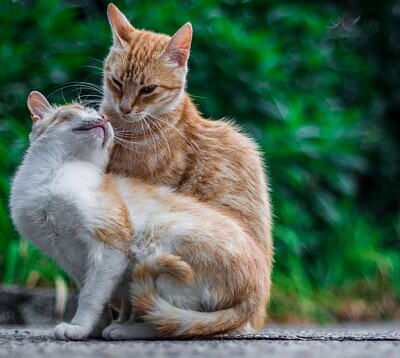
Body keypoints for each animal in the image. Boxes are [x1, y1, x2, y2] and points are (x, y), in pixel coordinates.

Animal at [10, 91, 268, 340]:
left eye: (96, 112)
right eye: (79, 109)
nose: (104, 118)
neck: (57, 173)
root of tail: (254, 297)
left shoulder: (110, 247)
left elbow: (90, 297)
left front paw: (78, 328)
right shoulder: (73, 261)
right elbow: (92, 296)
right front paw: (91, 330)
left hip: (162, 236)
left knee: (170, 322)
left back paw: (124, 330)